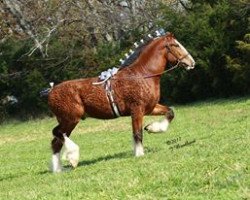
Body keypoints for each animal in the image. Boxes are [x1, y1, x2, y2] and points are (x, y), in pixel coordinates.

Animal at [47, 32, 195, 172]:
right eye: (176, 45)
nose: (192, 62)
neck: (142, 75)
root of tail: (51, 92)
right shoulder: (137, 110)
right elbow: (137, 133)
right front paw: (139, 154)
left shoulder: (150, 108)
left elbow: (170, 112)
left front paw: (152, 128)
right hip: (71, 119)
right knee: (57, 134)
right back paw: (72, 158)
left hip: (68, 120)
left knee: (56, 141)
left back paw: (58, 169)